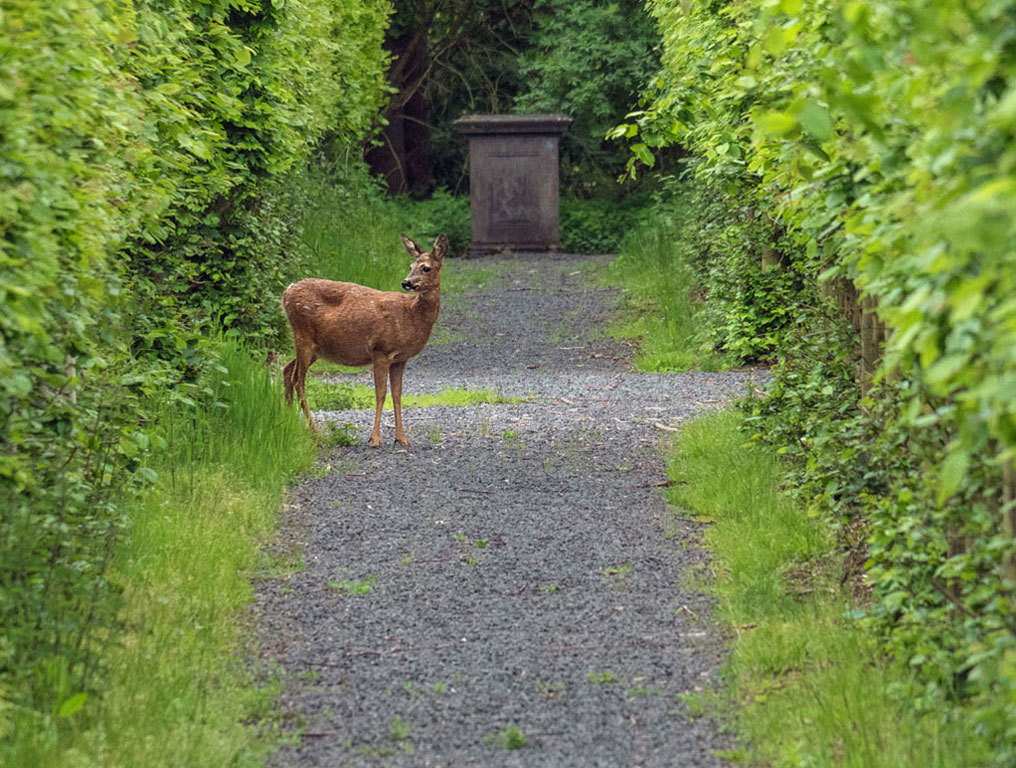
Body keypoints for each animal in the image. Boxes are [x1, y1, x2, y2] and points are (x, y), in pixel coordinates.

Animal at [284, 235, 447, 449]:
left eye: (426, 268)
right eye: (411, 265)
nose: (406, 283)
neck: (411, 315)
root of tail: (286, 292)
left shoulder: (400, 359)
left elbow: (397, 394)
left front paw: (402, 438)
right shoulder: (380, 349)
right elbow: (381, 393)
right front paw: (375, 438)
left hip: (315, 348)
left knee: (286, 370)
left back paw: (289, 423)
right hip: (303, 336)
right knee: (298, 380)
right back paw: (314, 433)